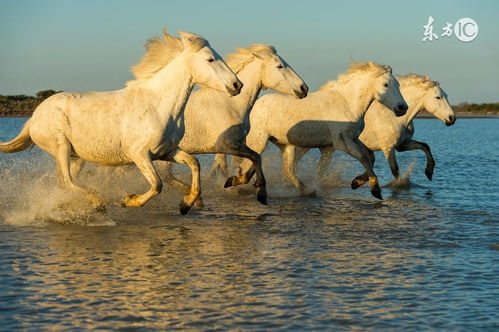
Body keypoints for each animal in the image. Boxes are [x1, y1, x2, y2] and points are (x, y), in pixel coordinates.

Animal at [0, 29, 242, 214]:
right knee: (66, 181)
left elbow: (194, 164)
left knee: (62, 182)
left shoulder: (167, 151)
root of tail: (33, 118)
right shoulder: (139, 154)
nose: (237, 85)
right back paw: (98, 203)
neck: (158, 105)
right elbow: (157, 184)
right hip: (59, 146)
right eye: (210, 59)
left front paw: (186, 204)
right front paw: (129, 200)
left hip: (76, 156)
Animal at [160, 44, 308, 205]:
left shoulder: (239, 143)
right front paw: (259, 192)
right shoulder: (226, 145)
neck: (230, 104)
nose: (304, 88)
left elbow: (254, 159)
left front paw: (235, 180)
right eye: (279, 66)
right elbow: (256, 157)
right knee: (166, 177)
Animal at [227, 61, 410, 198]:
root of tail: (254, 105)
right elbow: (364, 158)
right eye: (386, 84)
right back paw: (237, 182)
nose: (403, 108)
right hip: (260, 139)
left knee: (284, 169)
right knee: (251, 160)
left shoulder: (351, 139)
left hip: (285, 144)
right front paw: (375, 189)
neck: (347, 103)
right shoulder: (341, 142)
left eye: (398, 84)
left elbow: (370, 157)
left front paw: (356, 182)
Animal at [296, 73, 458, 187]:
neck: (396, 118)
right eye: (438, 97)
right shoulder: (388, 148)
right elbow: (394, 170)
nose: (452, 118)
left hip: (324, 147)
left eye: (446, 96)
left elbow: (425, 146)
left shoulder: (402, 145)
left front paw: (429, 172)